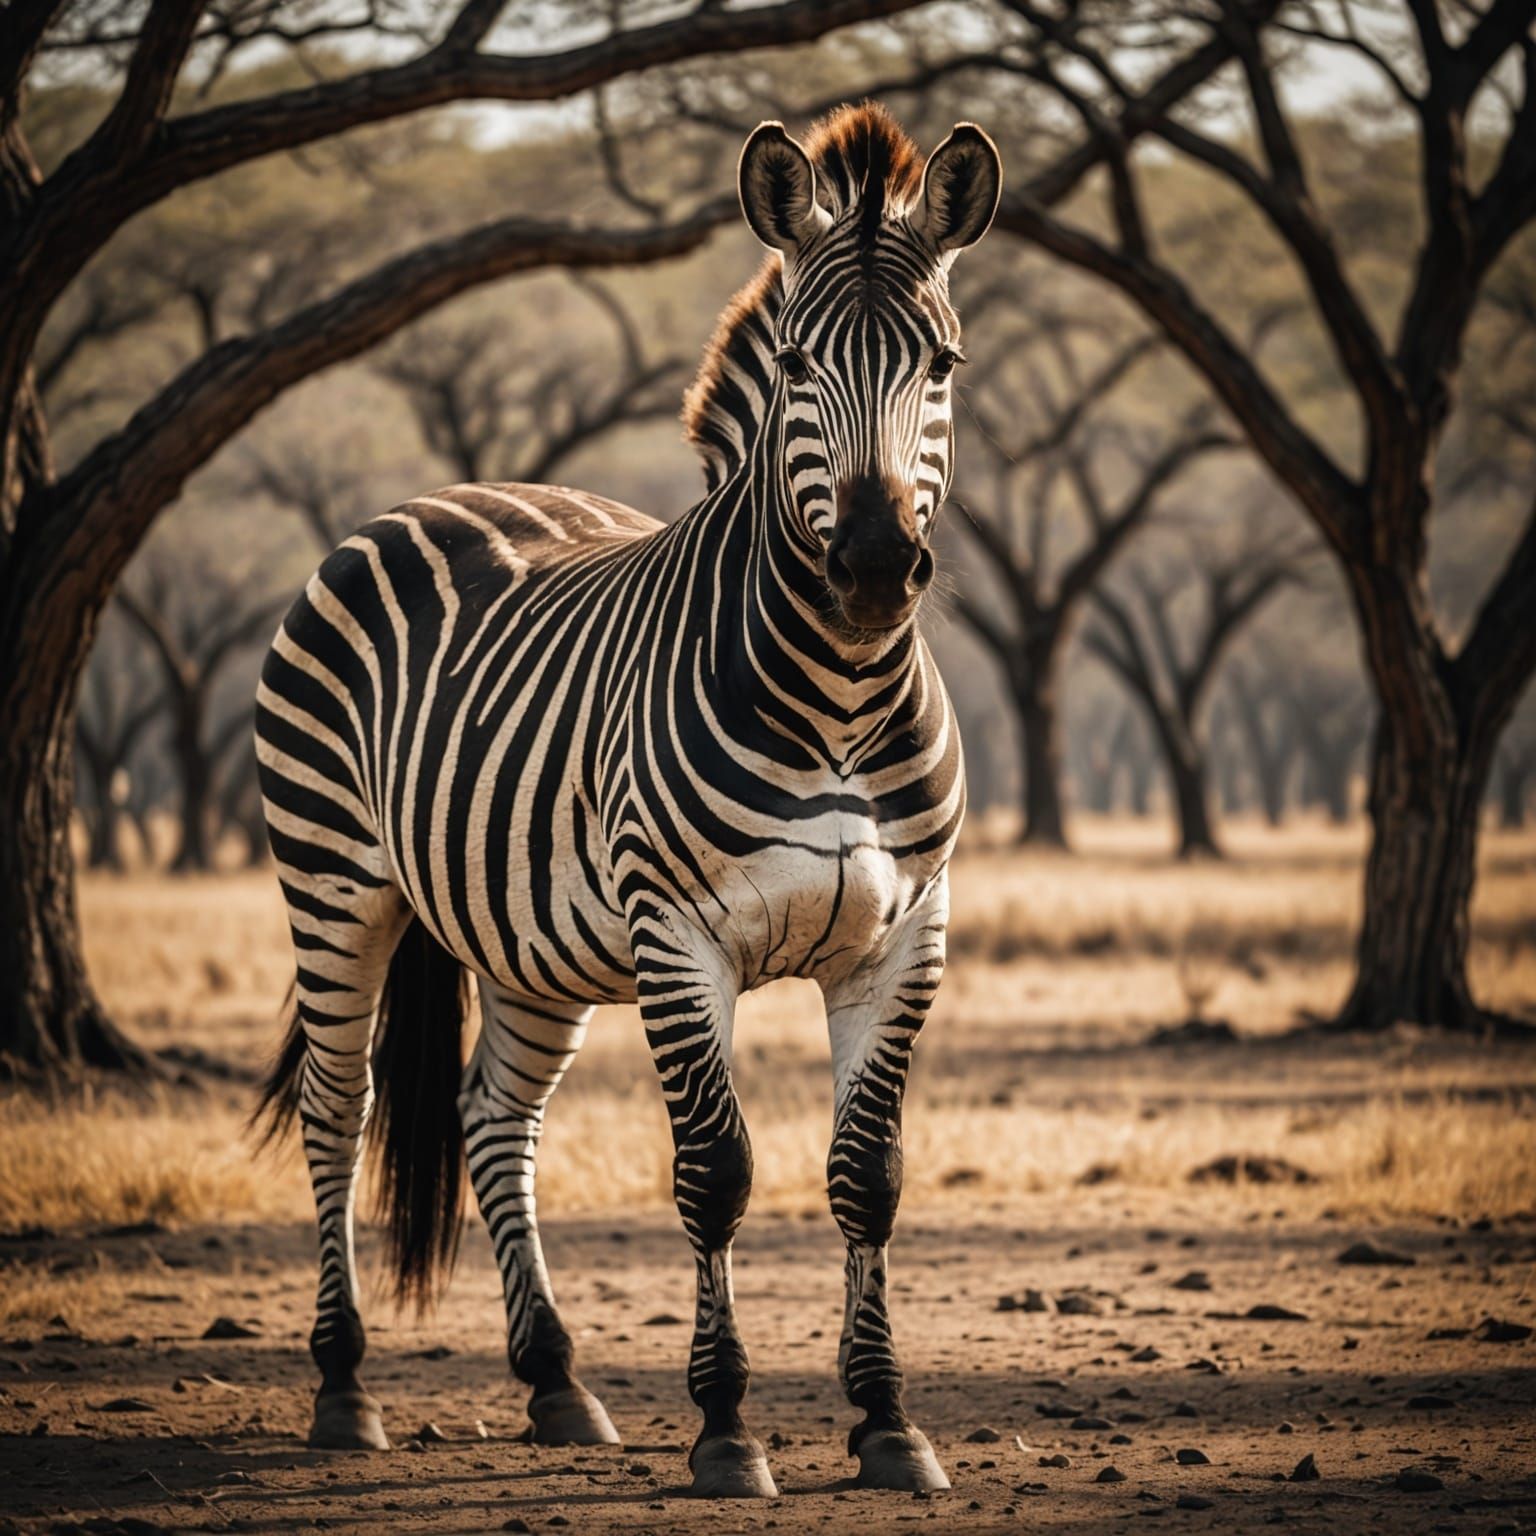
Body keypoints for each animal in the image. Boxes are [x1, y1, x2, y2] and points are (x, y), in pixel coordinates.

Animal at [255, 102, 1001, 1498]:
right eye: (803, 362)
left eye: (941, 362)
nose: (876, 568)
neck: (841, 692)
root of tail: (434, 495)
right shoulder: (678, 933)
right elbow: (715, 1174)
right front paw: (725, 1429)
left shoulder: (907, 934)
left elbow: (867, 1176)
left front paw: (886, 1420)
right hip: (335, 881)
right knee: (339, 1110)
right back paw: (343, 1387)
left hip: (529, 945)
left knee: (494, 1117)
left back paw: (555, 1379)